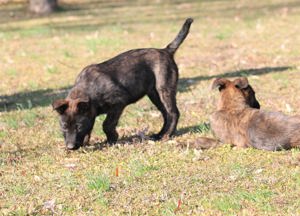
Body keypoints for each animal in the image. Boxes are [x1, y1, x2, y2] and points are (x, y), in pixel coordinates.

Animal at [51, 18, 193, 150]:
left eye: (78, 126)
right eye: (64, 126)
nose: (70, 147)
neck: (89, 90)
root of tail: (165, 51)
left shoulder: (118, 103)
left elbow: (107, 124)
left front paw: (112, 139)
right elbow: (92, 126)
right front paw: (86, 142)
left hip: (164, 89)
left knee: (173, 113)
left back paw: (167, 135)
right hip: (154, 94)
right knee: (165, 113)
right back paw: (159, 134)